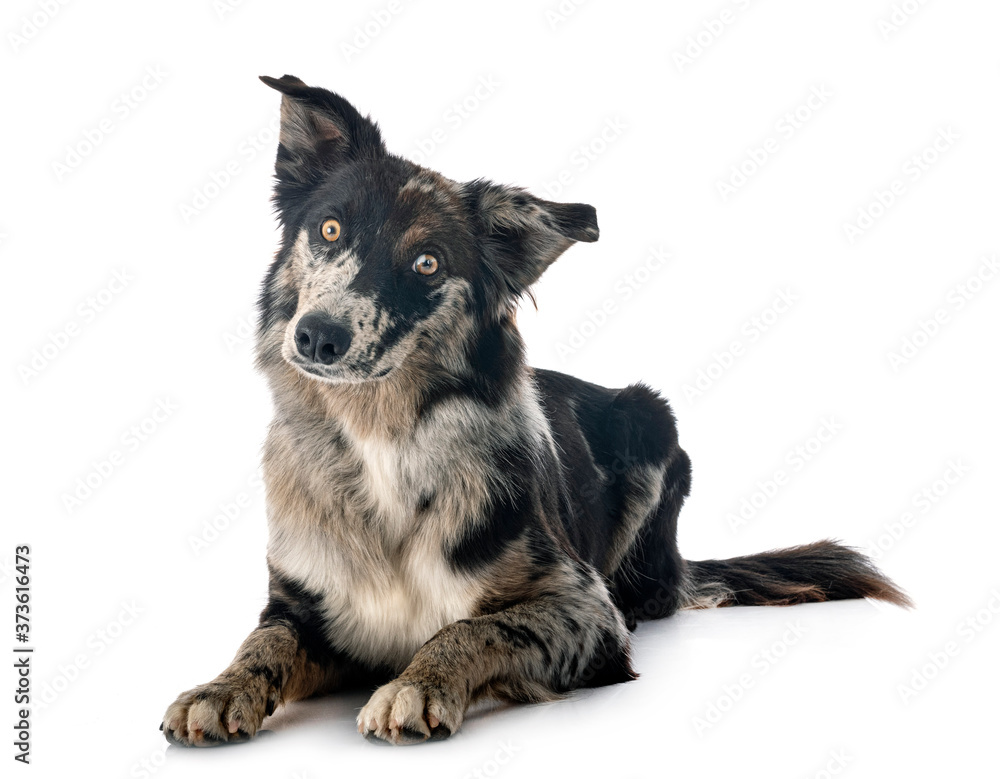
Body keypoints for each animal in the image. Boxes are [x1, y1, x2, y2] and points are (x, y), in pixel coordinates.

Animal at [160, 74, 912, 748]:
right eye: (329, 227)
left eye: (428, 263)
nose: (318, 336)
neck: (384, 441)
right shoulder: (298, 602)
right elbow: (261, 642)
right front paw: (220, 688)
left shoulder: (585, 608)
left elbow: (476, 624)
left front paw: (418, 681)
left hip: (652, 421)